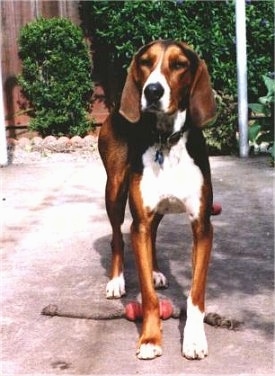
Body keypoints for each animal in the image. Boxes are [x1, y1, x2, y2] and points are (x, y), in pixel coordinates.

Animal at [99, 39, 218, 360]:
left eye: (179, 64)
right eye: (145, 62)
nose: (152, 91)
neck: (166, 141)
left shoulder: (202, 225)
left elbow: (196, 293)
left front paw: (194, 339)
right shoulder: (139, 221)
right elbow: (149, 298)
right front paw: (150, 339)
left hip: (156, 210)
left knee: (151, 236)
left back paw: (153, 272)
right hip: (115, 192)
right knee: (118, 238)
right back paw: (116, 281)